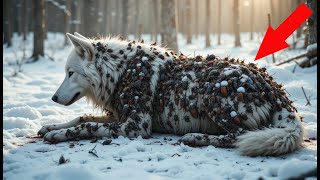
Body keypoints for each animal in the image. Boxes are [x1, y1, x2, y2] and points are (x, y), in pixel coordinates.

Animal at [38, 32, 304, 156]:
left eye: (70, 73)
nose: (53, 98)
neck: (120, 71)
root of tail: (277, 91)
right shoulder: (118, 116)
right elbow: (81, 118)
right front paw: (52, 126)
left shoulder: (136, 126)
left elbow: (86, 126)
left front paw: (58, 134)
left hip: (212, 91)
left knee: (238, 136)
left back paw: (195, 137)